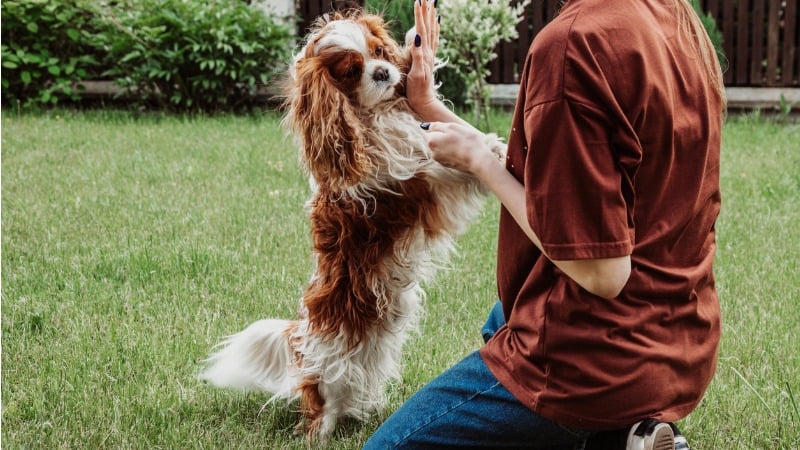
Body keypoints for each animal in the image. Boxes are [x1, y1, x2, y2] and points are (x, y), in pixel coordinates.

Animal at [198, 8, 506, 442]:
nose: (382, 72)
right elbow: (440, 167)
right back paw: (318, 434)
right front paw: (487, 150)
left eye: (379, 52)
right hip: (326, 372)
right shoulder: (413, 189)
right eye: (351, 71)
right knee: (318, 406)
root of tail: (302, 338)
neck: (371, 118)